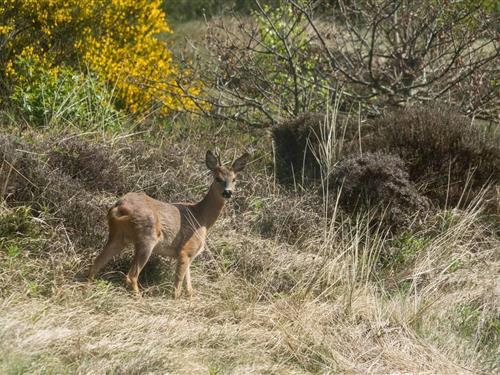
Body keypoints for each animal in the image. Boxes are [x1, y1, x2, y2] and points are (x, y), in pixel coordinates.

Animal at [89, 150, 249, 300]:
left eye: (234, 179)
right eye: (218, 178)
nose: (228, 192)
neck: (201, 218)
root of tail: (119, 207)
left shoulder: (189, 254)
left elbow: (189, 287)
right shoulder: (186, 249)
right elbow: (177, 287)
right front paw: (175, 300)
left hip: (117, 236)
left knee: (95, 264)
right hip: (147, 237)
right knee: (131, 276)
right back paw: (140, 299)